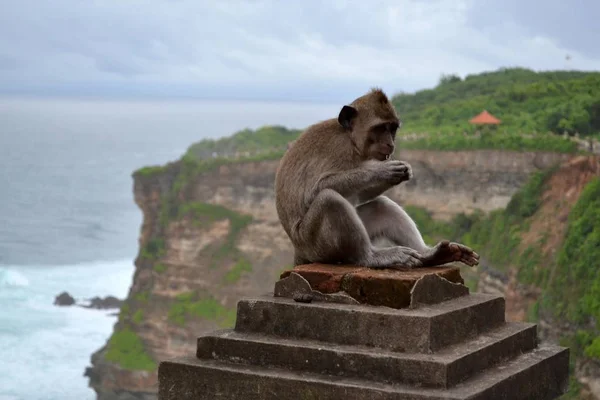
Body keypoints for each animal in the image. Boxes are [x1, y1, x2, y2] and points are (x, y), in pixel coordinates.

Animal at [274, 87, 480, 268]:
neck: (351, 140)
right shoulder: (339, 150)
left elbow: (359, 195)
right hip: (314, 245)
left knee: (382, 206)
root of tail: (299, 250)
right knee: (329, 199)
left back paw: (430, 254)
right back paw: (370, 257)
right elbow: (314, 191)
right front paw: (381, 171)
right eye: (381, 128)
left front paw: (400, 173)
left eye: (392, 128)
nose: (390, 144)